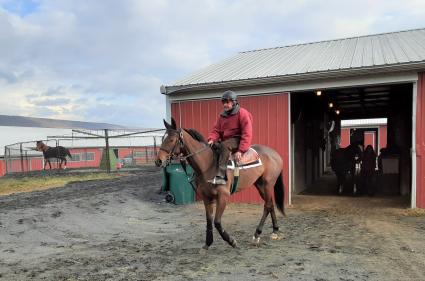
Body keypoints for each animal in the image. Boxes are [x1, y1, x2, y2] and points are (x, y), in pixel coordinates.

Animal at [153, 117, 284, 249]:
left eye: (171, 140)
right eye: (163, 139)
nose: (158, 161)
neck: (208, 164)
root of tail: (275, 154)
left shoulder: (223, 196)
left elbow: (216, 221)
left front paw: (231, 241)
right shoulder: (207, 197)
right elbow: (209, 221)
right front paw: (207, 243)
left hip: (267, 184)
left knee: (267, 206)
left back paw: (257, 234)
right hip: (260, 185)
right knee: (270, 204)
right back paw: (275, 231)